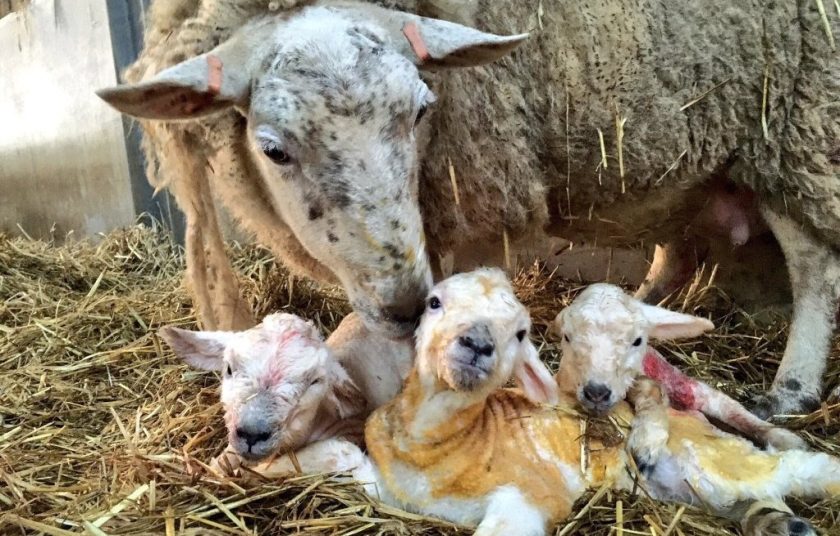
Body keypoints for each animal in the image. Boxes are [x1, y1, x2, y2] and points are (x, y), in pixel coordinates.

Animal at [100, 0, 840, 416]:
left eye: (422, 111)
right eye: (272, 148)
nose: (403, 302)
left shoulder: (480, 184)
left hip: (795, 127)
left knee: (814, 265)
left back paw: (793, 386)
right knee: (677, 244)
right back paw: (644, 300)